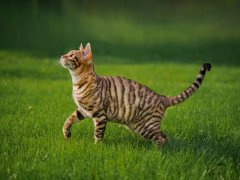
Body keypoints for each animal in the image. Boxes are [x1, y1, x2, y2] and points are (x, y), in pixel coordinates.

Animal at [60, 43, 212, 146]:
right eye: (67, 53)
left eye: (71, 55)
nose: (61, 56)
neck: (77, 82)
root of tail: (162, 97)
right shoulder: (83, 110)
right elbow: (68, 120)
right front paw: (66, 134)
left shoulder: (100, 115)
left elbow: (98, 133)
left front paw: (97, 147)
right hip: (140, 126)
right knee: (164, 136)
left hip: (147, 126)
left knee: (161, 138)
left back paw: (157, 153)